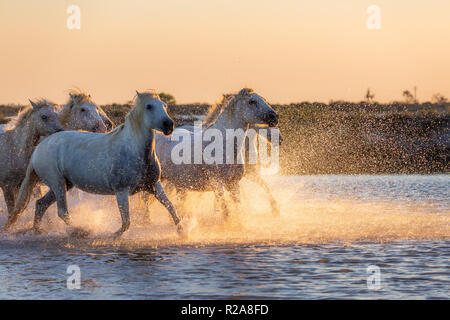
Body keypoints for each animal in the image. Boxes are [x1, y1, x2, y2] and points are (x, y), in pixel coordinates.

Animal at [6, 91, 180, 236]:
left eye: (164, 105)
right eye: (149, 106)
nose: (168, 125)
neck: (135, 150)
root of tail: (39, 148)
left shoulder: (154, 185)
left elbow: (172, 209)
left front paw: (182, 233)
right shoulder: (121, 191)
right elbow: (126, 223)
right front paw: (113, 236)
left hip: (65, 184)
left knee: (41, 204)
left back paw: (38, 231)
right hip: (57, 183)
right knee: (62, 212)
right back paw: (81, 231)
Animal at [149, 87, 280, 218]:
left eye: (264, 99)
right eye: (252, 101)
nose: (275, 117)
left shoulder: (233, 184)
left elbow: (238, 207)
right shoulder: (217, 184)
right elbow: (225, 210)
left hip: (179, 185)